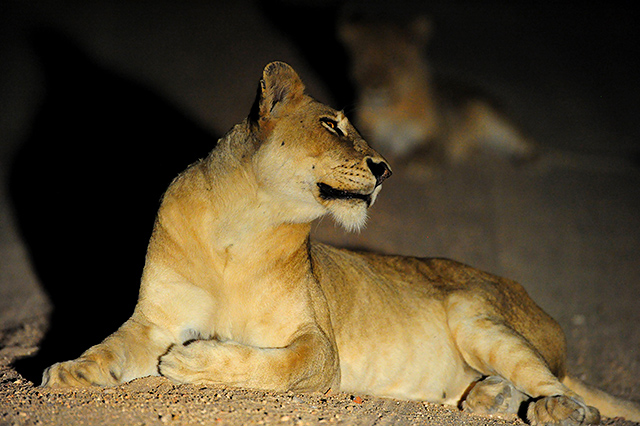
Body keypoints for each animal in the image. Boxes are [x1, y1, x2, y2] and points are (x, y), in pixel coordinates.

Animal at [42, 62, 639, 425]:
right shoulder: (156, 320)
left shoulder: (319, 346)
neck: (243, 226)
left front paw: (190, 362)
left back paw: (551, 407)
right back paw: (490, 395)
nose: (386, 169)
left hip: (478, 315)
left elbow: (276, 368)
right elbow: (112, 347)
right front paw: (66, 371)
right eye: (332, 126)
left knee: (566, 395)